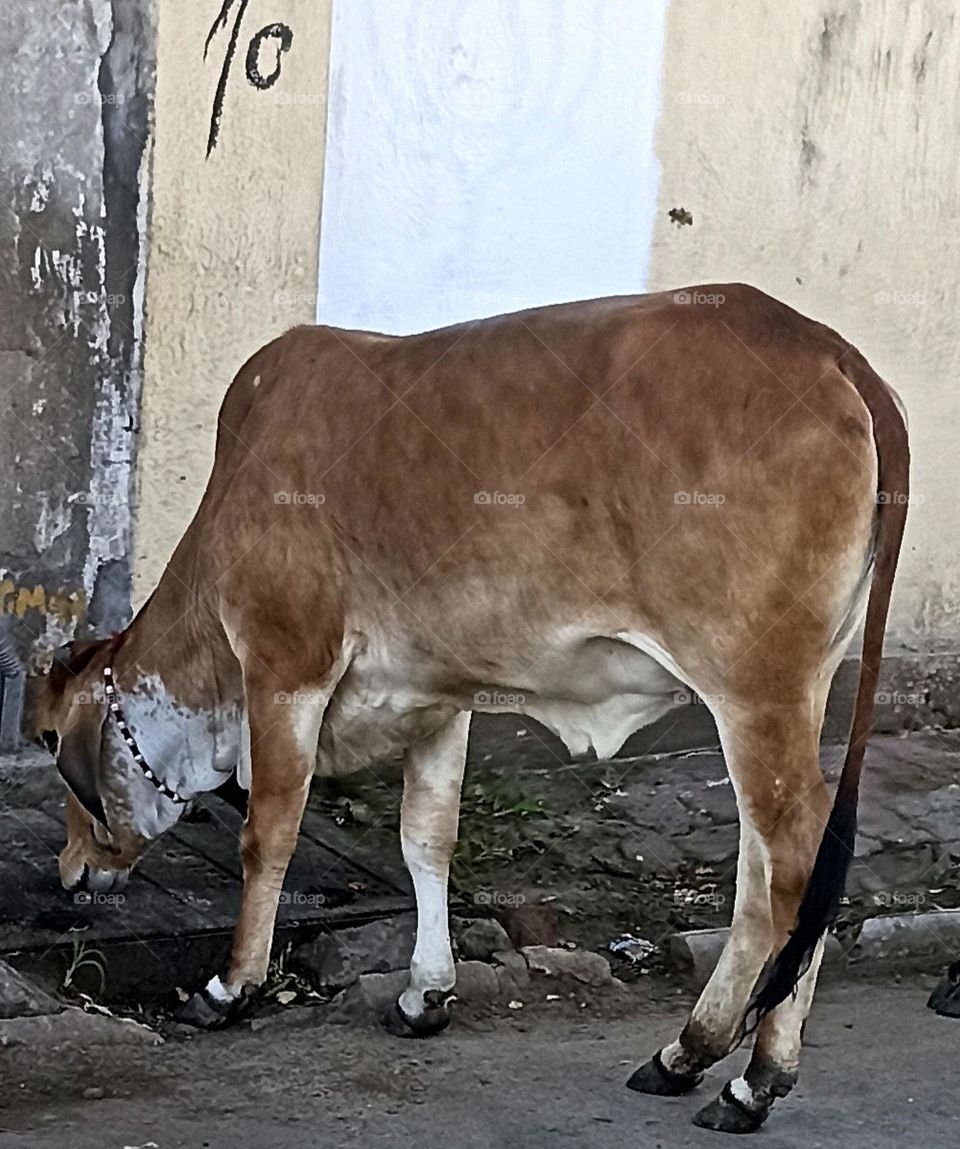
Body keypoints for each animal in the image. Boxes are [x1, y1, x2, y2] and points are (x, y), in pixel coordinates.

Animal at [32, 284, 908, 1133]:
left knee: (792, 866)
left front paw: (230, 986)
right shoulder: (438, 696)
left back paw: (756, 1081)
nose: (69, 869)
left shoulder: (286, 668)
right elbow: (427, 840)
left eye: (47, 739)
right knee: (764, 877)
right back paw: (687, 1052)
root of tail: (832, 353)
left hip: (757, 693)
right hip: (792, 693)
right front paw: (425, 992)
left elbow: (267, 836)